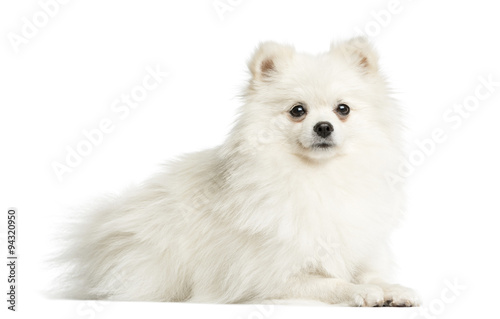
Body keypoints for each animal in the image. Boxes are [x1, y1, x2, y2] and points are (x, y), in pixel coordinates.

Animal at [58, 37, 420, 308]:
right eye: (297, 111)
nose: (323, 127)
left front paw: (394, 289)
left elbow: (371, 273)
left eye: (342, 109)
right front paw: (360, 292)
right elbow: (329, 282)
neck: (319, 176)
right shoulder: (269, 276)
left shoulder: (361, 245)